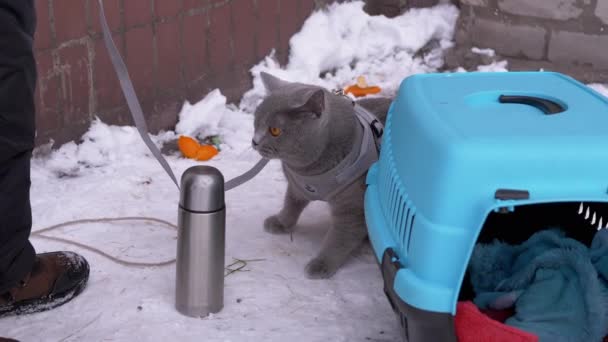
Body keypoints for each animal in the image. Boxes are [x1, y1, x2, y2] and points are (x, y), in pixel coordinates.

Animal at [251, 72, 390, 278]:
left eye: (274, 131)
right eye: (256, 122)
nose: (254, 141)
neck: (309, 172)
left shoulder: (352, 207)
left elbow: (339, 238)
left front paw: (321, 264)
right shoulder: (296, 186)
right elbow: (291, 203)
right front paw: (281, 222)